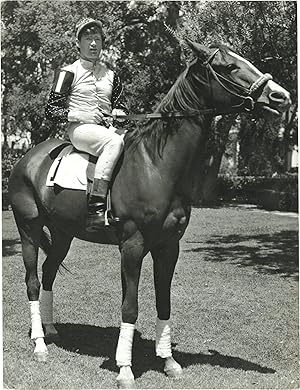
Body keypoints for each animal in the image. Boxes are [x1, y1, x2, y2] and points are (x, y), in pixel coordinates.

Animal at [8, 41, 290, 388]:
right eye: (229, 66)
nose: (280, 96)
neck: (156, 165)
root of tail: (27, 158)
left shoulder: (168, 246)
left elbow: (163, 302)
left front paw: (168, 361)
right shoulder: (132, 246)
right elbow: (130, 307)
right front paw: (125, 369)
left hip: (63, 234)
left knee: (48, 275)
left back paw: (49, 330)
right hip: (29, 230)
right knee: (33, 281)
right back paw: (39, 344)